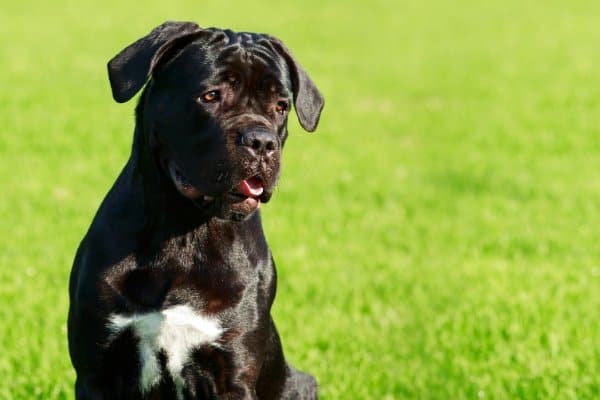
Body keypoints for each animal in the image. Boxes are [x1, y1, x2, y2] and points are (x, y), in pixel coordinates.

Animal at [67, 22, 324, 400]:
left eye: (280, 106)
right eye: (210, 96)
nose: (262, 141)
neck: (184, 230)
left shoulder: (231, 370)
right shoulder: (98, 372)